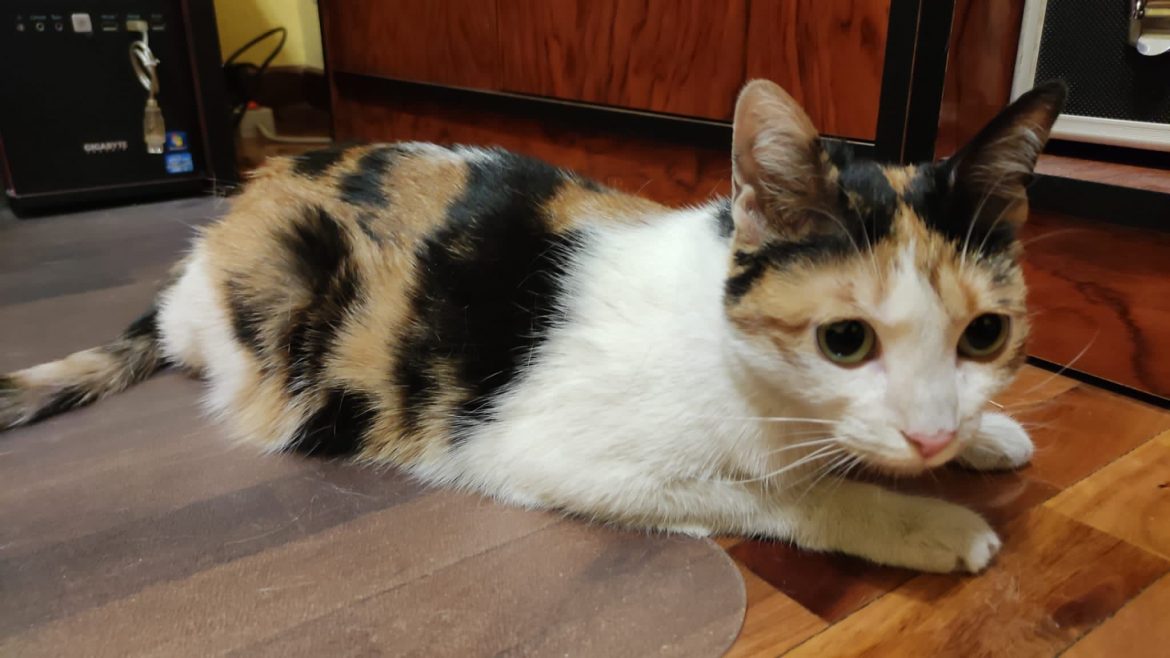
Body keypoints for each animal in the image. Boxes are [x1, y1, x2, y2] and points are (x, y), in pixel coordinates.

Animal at [0, 79, 1065, 573]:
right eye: (846, 341)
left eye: (984, 337)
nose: (933, 437)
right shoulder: (546, 452)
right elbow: (786, 496)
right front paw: (924, 522)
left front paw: (990, 436)